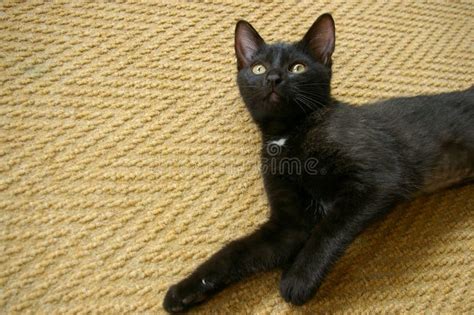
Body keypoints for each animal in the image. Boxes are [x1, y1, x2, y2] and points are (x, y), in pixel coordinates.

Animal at [163, 12, 474, 314]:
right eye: (258, 68)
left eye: (297, 68)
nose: (273, 78)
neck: (288, 134)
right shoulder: (290, 224)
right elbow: (236, 252)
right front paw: (185, 291)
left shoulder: (380, 179)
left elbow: (329, 229)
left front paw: (298, 279)